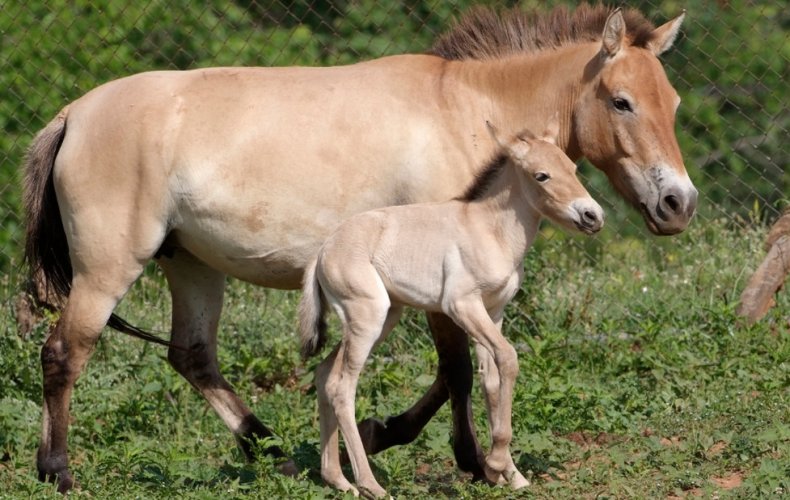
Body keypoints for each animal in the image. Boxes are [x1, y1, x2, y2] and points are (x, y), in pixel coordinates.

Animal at [300, 120, 604, 496]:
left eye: (574, 168)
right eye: (541, 175)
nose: (593, 216)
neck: (490, 230)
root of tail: (323, 251)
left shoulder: (494, 312)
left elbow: (492, 379)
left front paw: (509, 475)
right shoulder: (461, 305)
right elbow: (509, 359)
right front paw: (496, 464)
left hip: (382, 318)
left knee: (324, 374)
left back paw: (339, 481)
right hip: (367, 319)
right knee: (342, 387)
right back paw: (371, 485)